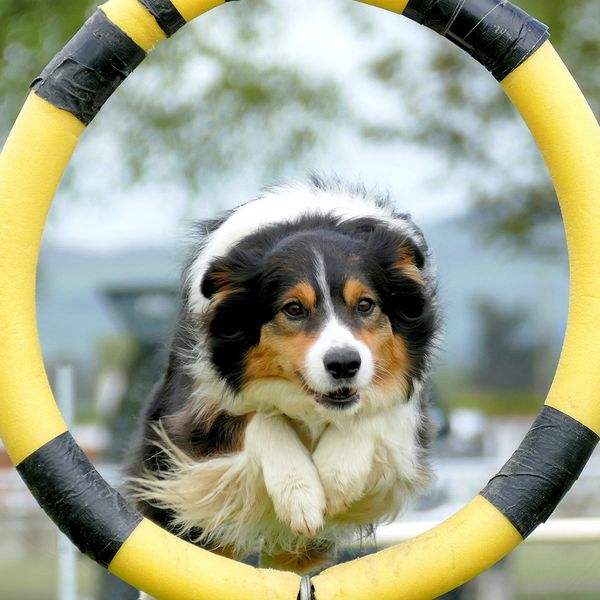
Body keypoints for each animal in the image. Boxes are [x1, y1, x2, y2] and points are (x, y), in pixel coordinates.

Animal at [127, 178, 436, 576]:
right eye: (293, 309)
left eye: (366, 304)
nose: (343, 364)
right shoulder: (193, 415)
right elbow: (260, 419)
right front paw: (301, 495)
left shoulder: (408, 412)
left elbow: (376, 411)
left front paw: (334, 479)